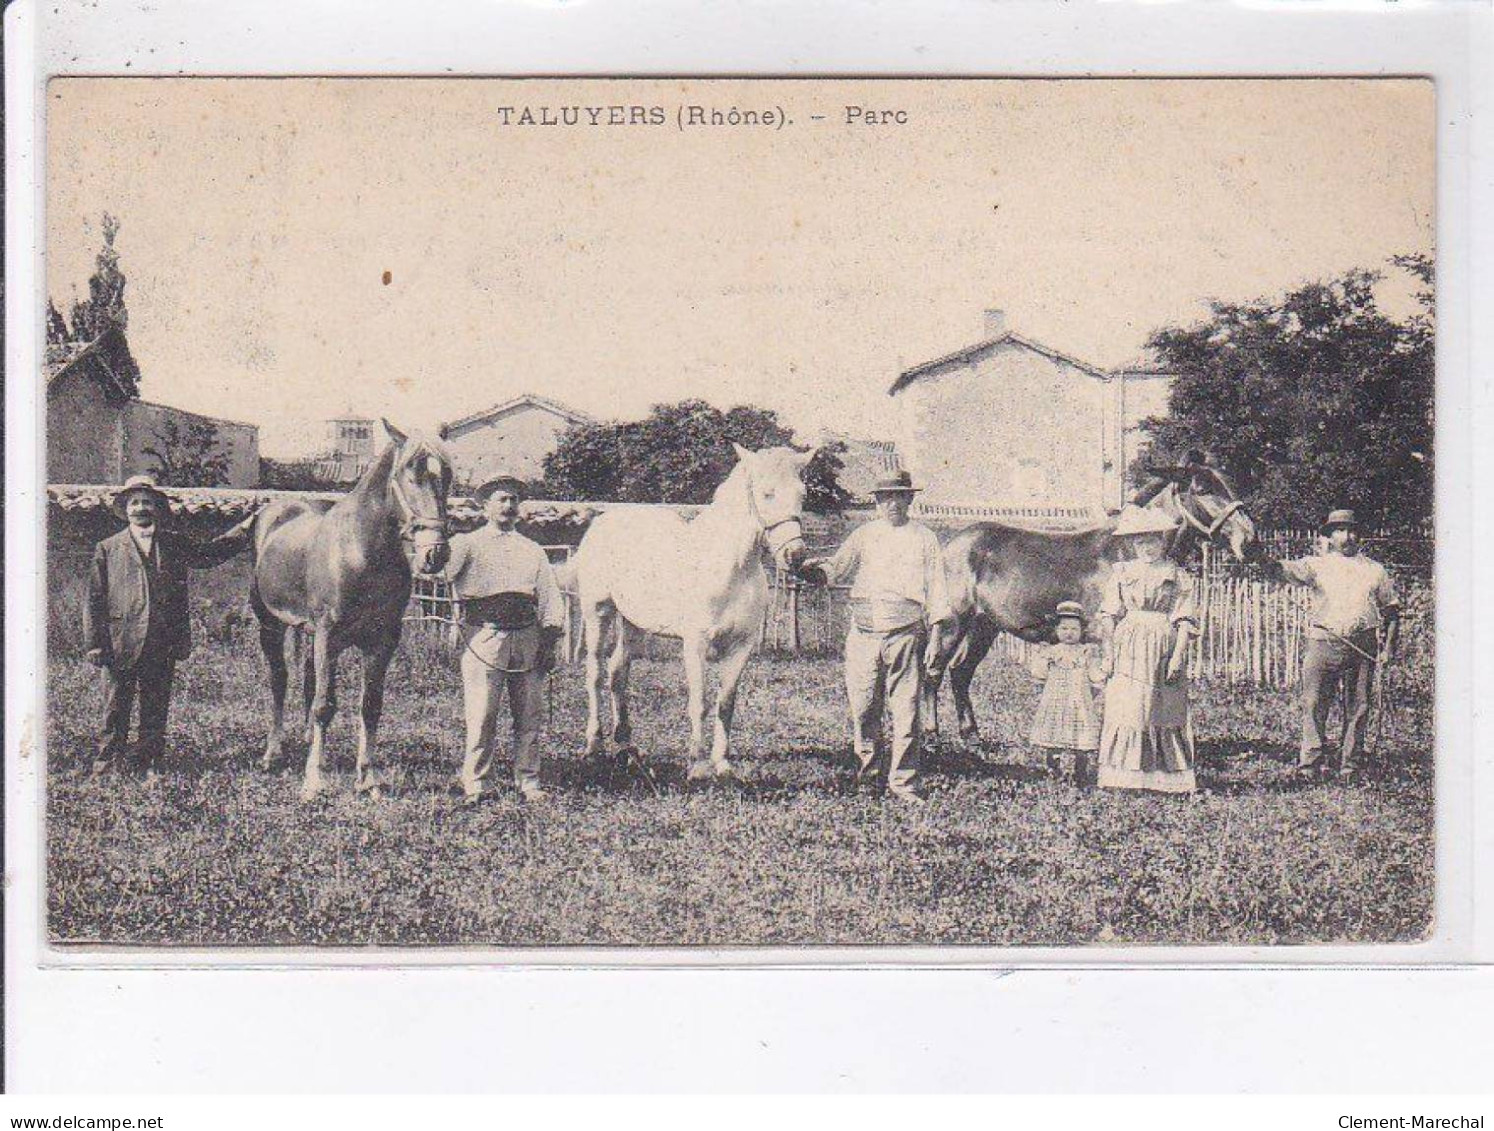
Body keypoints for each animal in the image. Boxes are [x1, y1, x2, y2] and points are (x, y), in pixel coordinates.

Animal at [248, 418, 448, 800]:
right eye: (408, 472)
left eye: (447, 475)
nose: (435, 553)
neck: (363, 550)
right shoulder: (329, 635)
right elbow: (325, 705)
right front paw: (313, 781)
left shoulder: (382, 642)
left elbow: (369, 706)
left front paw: (367, 779)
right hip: (271, 626)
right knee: (279, 681)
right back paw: (272, 753)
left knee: (308, 682)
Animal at [570, 445, 812, 782]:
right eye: (767, 494)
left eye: (802, 494)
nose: (795, 555)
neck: (731, 566)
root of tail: (601, 522)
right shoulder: (695, 644)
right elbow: (700, 702)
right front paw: (697, 765)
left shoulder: (741, 646)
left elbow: (726, 703)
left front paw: (722, 764)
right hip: (598, 612)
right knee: (595, 673)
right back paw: (594, 747)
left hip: (632, 623)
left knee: (619, 671)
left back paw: (626, 747)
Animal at [920, 460, 1260, 741]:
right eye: (1202, 489)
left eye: (1228, 482)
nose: (1250, 539)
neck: (1129, 549)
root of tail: (949, 545)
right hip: (952, 624)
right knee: (933, 671)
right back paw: (932, 734)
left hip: (984, 626)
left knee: (960, 671)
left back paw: (971, 735)